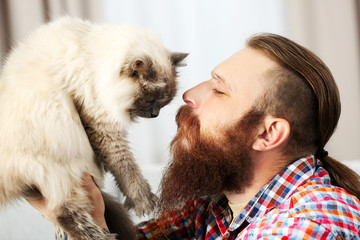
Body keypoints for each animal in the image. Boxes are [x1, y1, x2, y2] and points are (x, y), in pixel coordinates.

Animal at [0, 17, 187, 240]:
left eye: (163, 102)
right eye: (150, 100)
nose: (154, 115)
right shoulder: (102, 124)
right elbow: (126, 167)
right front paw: (144, 201)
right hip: (61, 170)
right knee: (64, 212)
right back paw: (103, 236)